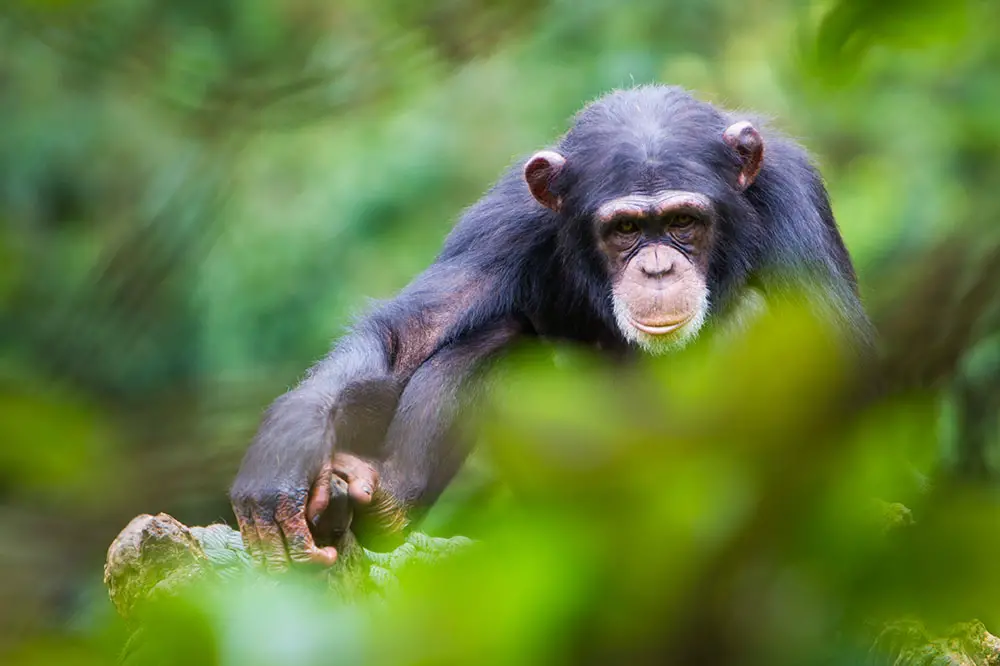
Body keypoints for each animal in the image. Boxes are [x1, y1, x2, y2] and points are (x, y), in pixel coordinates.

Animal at [230, 85, 872, 568]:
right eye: (624, 229)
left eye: (684, 222)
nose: (658, 268)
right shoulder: (509, 218)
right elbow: (411, 333)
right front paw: (287, 445)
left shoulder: (793, 199)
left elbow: (835, 363)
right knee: (498, 346)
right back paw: (379, 497)